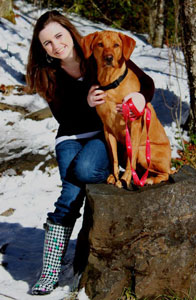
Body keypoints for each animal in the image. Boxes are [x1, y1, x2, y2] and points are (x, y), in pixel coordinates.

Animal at [80, 31, 171, 189]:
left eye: (116, 45)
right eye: (100, 44)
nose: (108, 58)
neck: (111, 83)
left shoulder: (134, 126)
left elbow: (131, 157)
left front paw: (125, 178)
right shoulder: (108, 129)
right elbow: (113, 157)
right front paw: (114, 176)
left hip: (144, 151)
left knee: (166, 173)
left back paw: (150, 179)